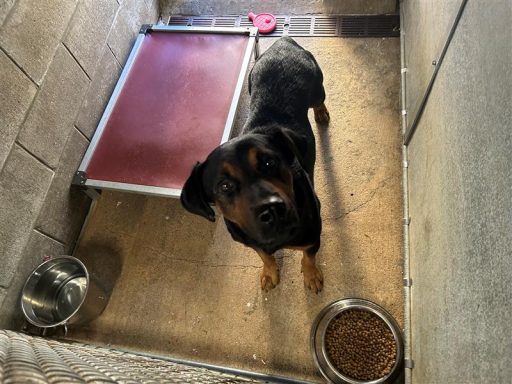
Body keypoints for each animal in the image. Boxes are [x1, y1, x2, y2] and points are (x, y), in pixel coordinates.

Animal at [182, 36, 330, 294]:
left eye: (270, 162)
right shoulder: (251, 241)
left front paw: (311, 275)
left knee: (319, 100)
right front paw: (270, 272)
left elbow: (309, 255)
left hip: (316, 86)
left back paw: (321, 113)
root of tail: (284, 41)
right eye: (224, 186)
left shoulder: (313, 232)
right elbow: (265, 256)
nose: (272, 209)